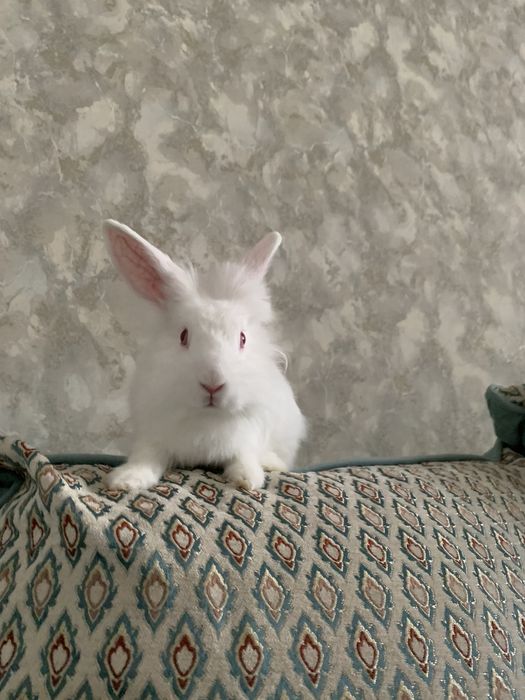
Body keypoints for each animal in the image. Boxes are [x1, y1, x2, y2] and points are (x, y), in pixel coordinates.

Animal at [102, 219, 306, 492]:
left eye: (242, 338)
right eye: (183, 336)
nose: (212, 384)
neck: (207, 418)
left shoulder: (247, 436)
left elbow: (243, 456)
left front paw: (247, 480)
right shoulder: (153, 436)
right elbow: (146, 458)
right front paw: (126, 480)